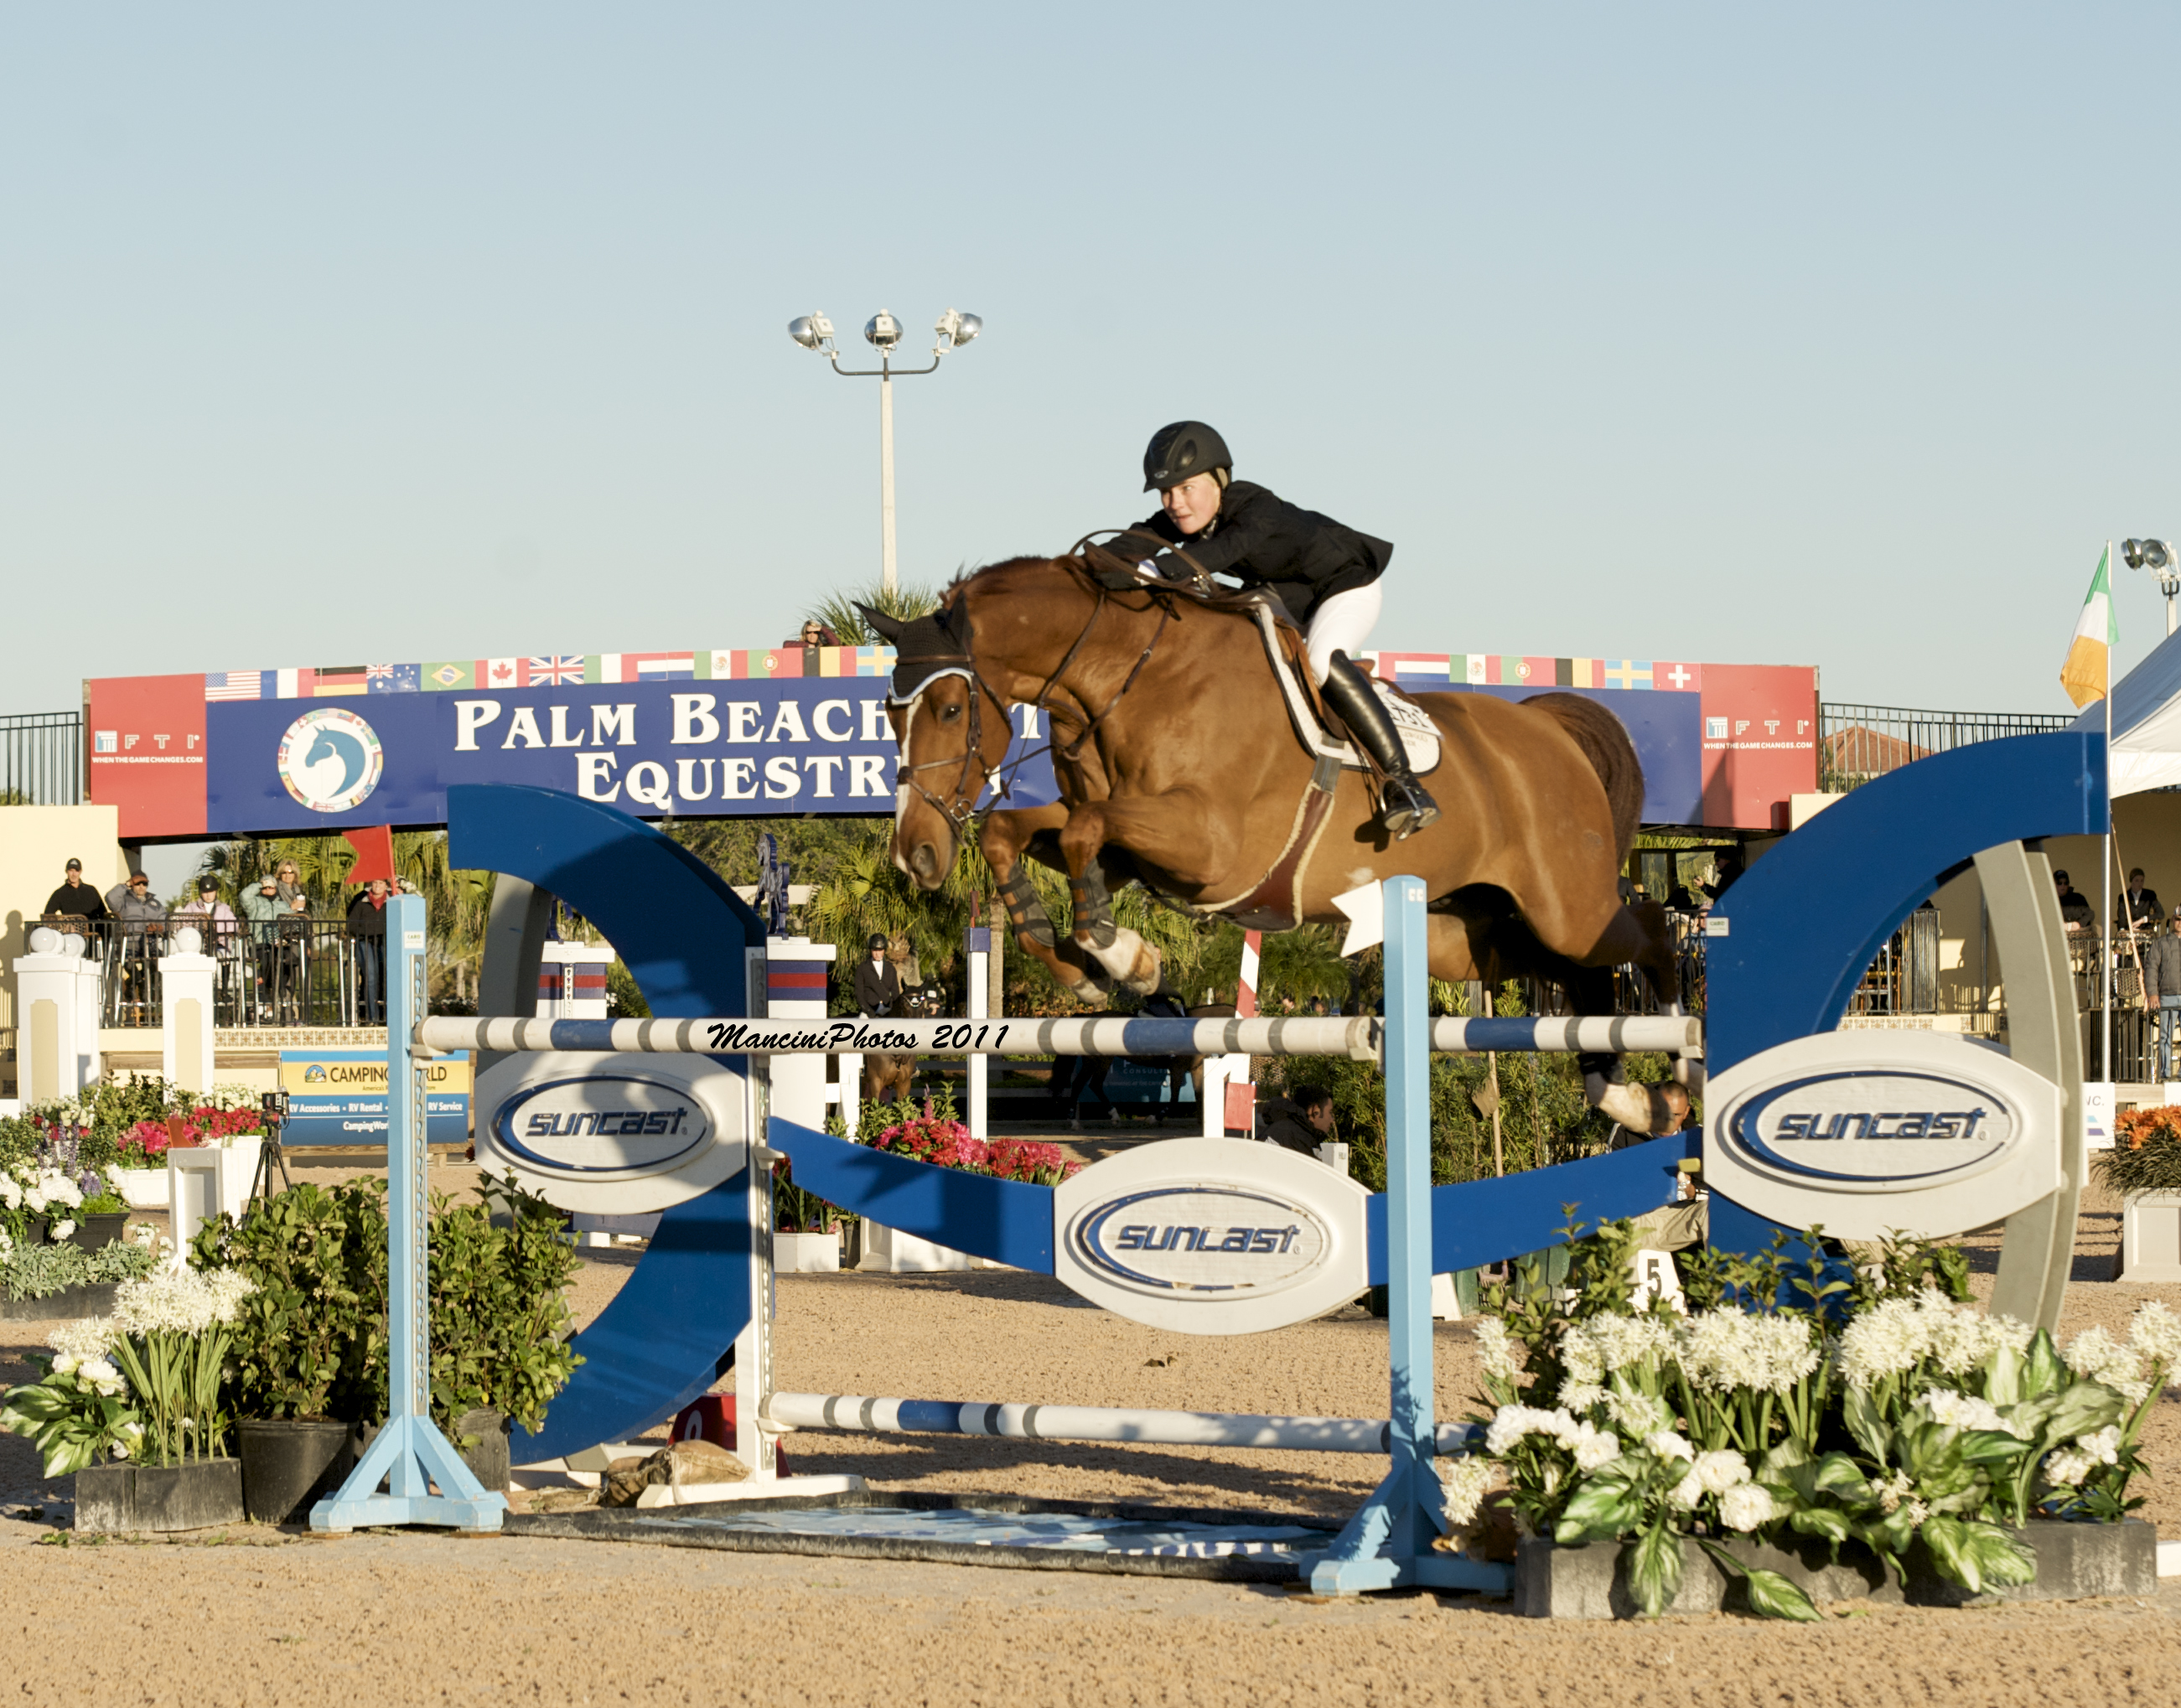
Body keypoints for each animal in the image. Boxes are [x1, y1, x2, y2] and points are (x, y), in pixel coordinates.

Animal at [863, 555, 1684, 1134]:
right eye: (889, 712)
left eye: (949, 707)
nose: (915, 855)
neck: (1130, 676)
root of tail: (1548, 726)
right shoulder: (1122, 841)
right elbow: (1021, 832)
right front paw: (1084, 968)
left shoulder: (1211, 848)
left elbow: (1086, 834)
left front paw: (1124, 955)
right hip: (1468, 932)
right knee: (1567, 972)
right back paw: (1625, 1097)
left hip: (1564, 903)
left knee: (1642, 930)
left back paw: (1677, 1054)